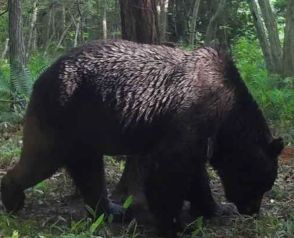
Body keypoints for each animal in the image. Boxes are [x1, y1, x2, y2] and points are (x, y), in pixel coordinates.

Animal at [1, 40, 284, 237]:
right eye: (261, 184)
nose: (252, 210)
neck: (227, 116)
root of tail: (41, 75)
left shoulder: (200, 137)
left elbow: (195, 173)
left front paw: (214, 208)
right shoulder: (190, 117)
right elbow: (168, 170)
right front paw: (175, 225)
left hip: (85, 129)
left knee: (89, 171)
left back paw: (111, 210)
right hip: (61, 113)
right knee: (41, 158)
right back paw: (12, 197)